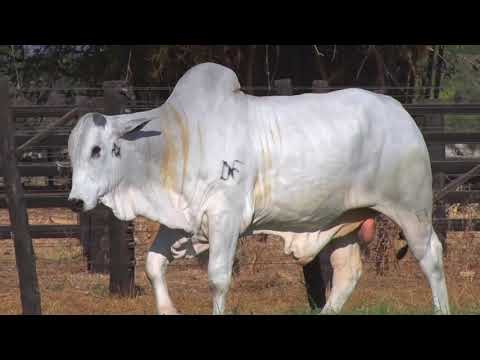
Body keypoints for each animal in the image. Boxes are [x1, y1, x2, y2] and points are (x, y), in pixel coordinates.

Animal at [67, 62, 450, 316]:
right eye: (72, 152)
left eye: (97, 149)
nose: (75, 201)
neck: (176, 139)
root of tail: (399, 111)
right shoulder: (180, 221)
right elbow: (152, 265)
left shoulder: (224, 217)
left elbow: (217, 279)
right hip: (345, 219)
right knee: (347, 272)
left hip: (412, 209)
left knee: (431, 256)